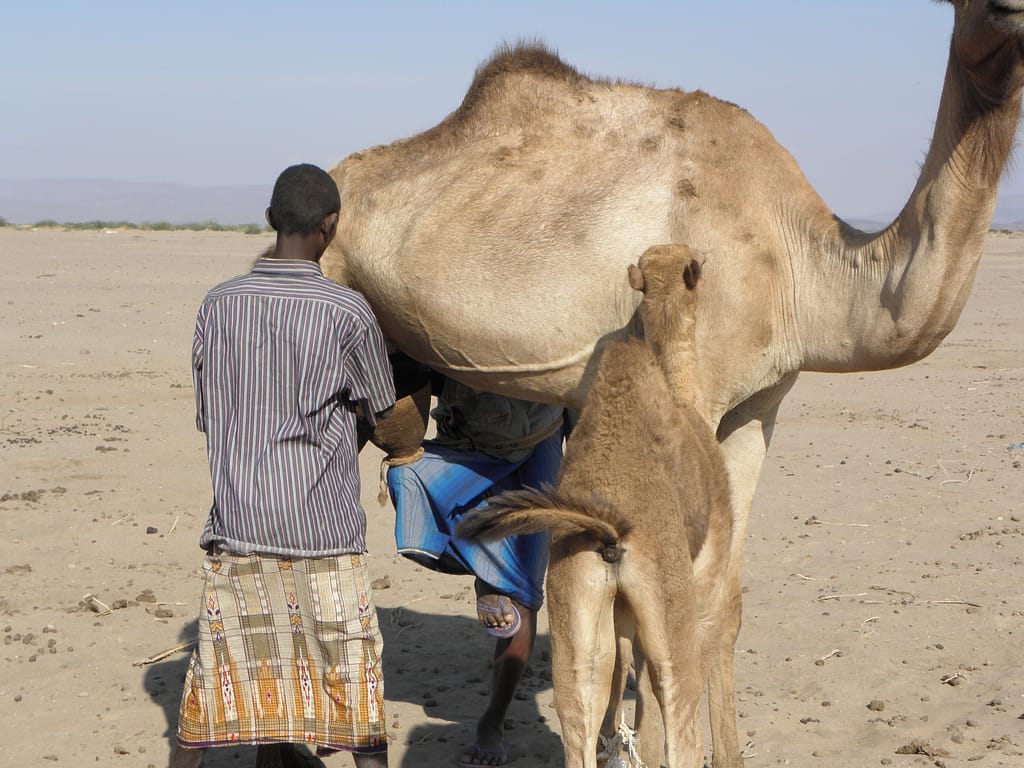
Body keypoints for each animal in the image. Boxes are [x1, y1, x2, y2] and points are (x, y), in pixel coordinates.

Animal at [460, 247, 741, 768]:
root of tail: (607, 527)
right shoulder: (707, 568)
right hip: (667, 600)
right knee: (677, 706)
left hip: (573, 598)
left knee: (579, 708)